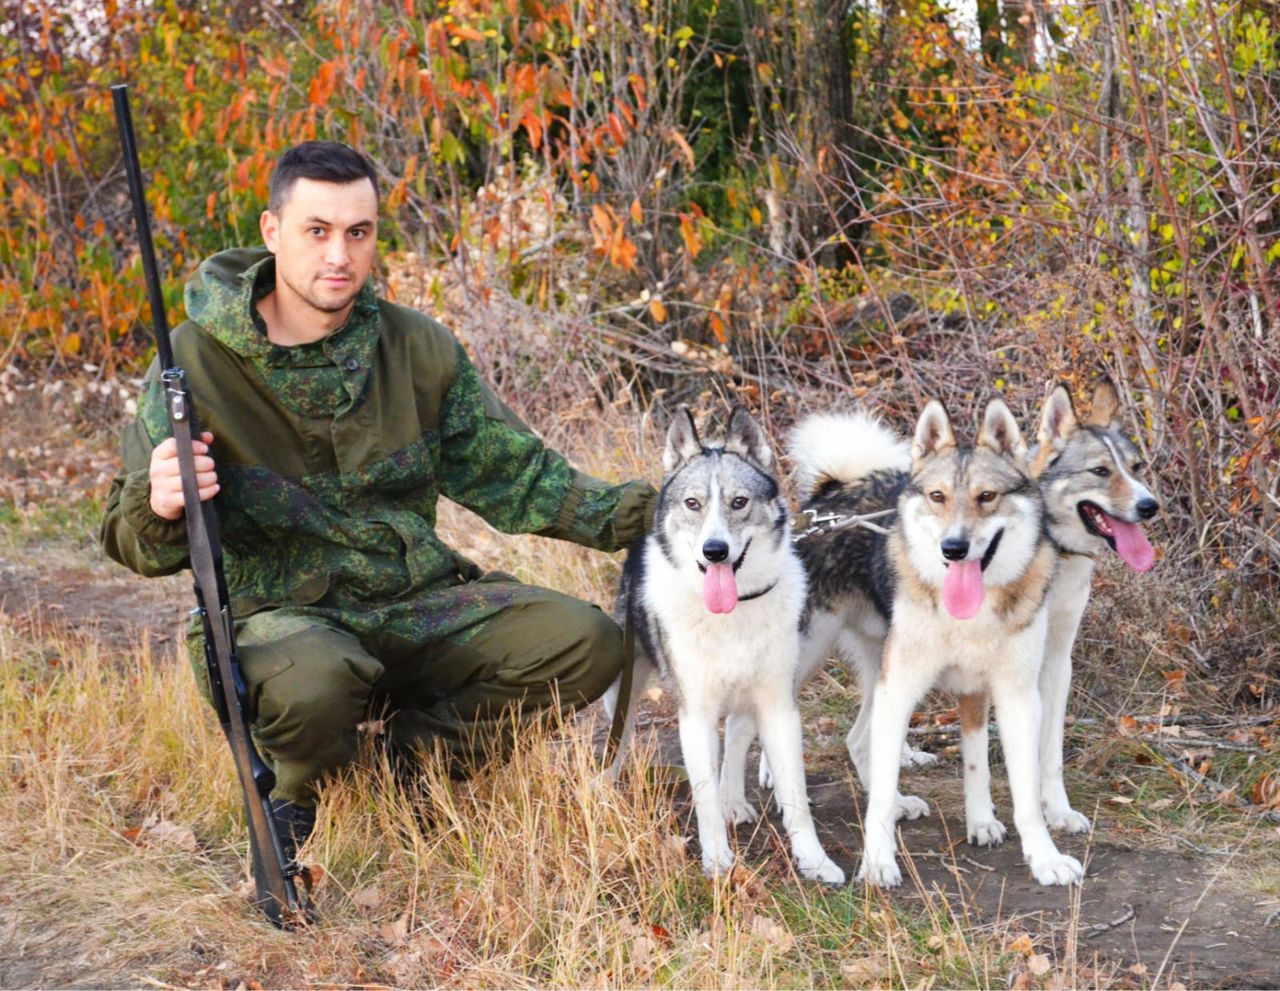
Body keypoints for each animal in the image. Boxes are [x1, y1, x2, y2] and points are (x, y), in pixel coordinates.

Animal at [601, 407, 844, 891]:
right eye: (693, 503)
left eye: (738, 502)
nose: (715, 551)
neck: (735, 610)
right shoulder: (694, 714)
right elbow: (704, 797)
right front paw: (717, 862)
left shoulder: (779, 707)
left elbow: (796, 798)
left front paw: (813, 861)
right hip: (625, 686)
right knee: (622, 739)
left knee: (735, 737)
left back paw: (735, 798)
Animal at [778, 399, 1080, 891]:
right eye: (938, 497)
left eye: (986, 497)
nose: (953, 548)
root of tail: (831, 495)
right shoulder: (899, 690)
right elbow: (879, 802)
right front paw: (878, 863)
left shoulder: (1014, 697)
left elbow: (1021, 790)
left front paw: (1043, 857)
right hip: (803, 663)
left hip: (874, 672)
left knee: (857, 739)